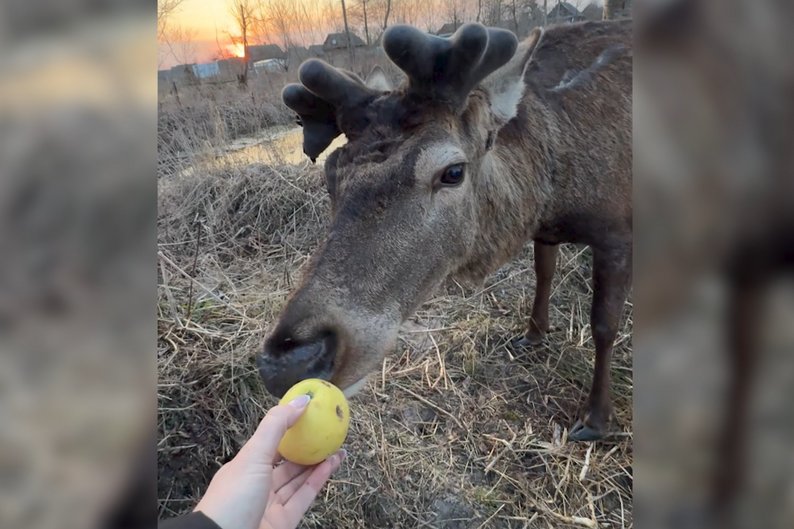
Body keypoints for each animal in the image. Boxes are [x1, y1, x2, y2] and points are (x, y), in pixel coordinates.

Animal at [257, 19, 632, 442]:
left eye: (453, 171)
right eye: (331, 172)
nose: (290, 360)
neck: (553, 194)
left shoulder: (618, 230)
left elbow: (604, 323)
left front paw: (595, 420)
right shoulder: (545, 229)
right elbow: (544, 272)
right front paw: (533, 334)